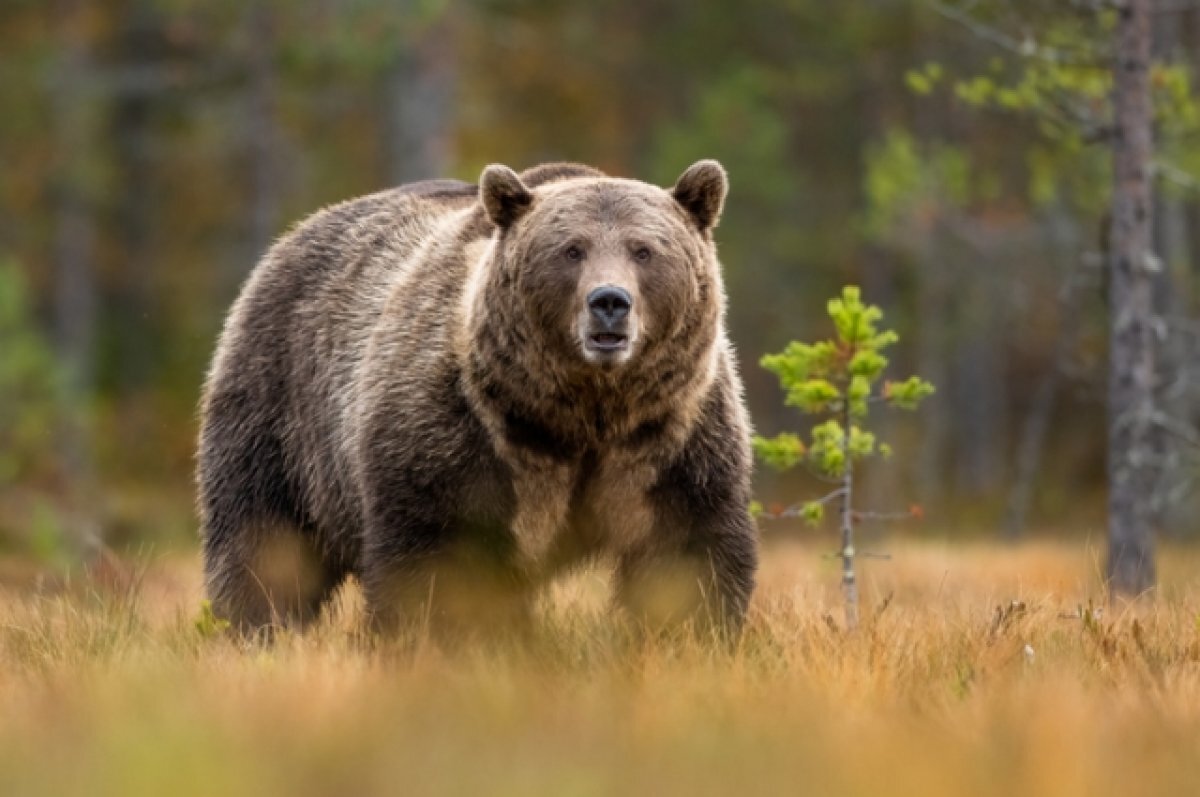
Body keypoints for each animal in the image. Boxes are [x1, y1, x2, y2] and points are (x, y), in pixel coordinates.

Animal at [196, 158, 758, 638]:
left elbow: (687, 553)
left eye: (644, 250)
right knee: (263, 540)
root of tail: (293, 235)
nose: (609, 302)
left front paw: (690, 635)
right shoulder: (460, 431)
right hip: (281, 407)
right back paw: (256, 628)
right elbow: (439, 561)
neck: (581, 413)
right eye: (571, 250)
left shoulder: (670, 438)